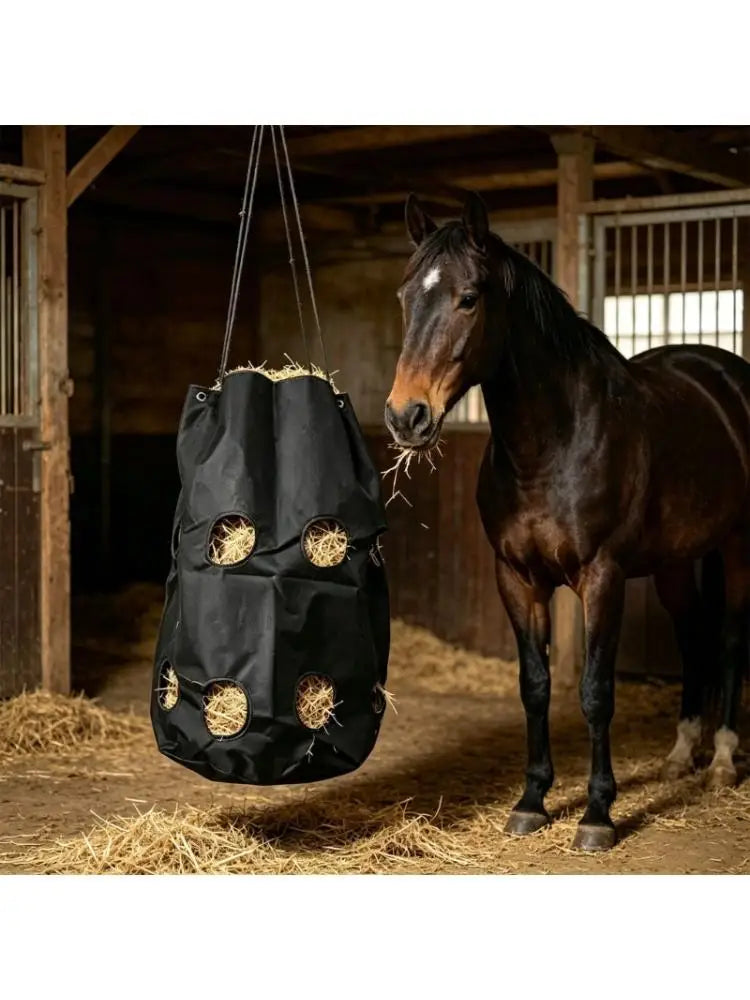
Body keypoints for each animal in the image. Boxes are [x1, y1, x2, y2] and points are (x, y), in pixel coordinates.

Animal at [384, 191, 749, 851]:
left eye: (468, 297)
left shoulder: (602, 578)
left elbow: (595, 693)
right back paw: (681, 755)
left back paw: (723, 762)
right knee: (693, 636)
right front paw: (532, 801)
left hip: (738, 544)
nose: (406, 416)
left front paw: (598, 813)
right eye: (405, 297)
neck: (548, 447)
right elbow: (535, 687)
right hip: (675, 562)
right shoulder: (517, 578)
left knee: (731, 639)